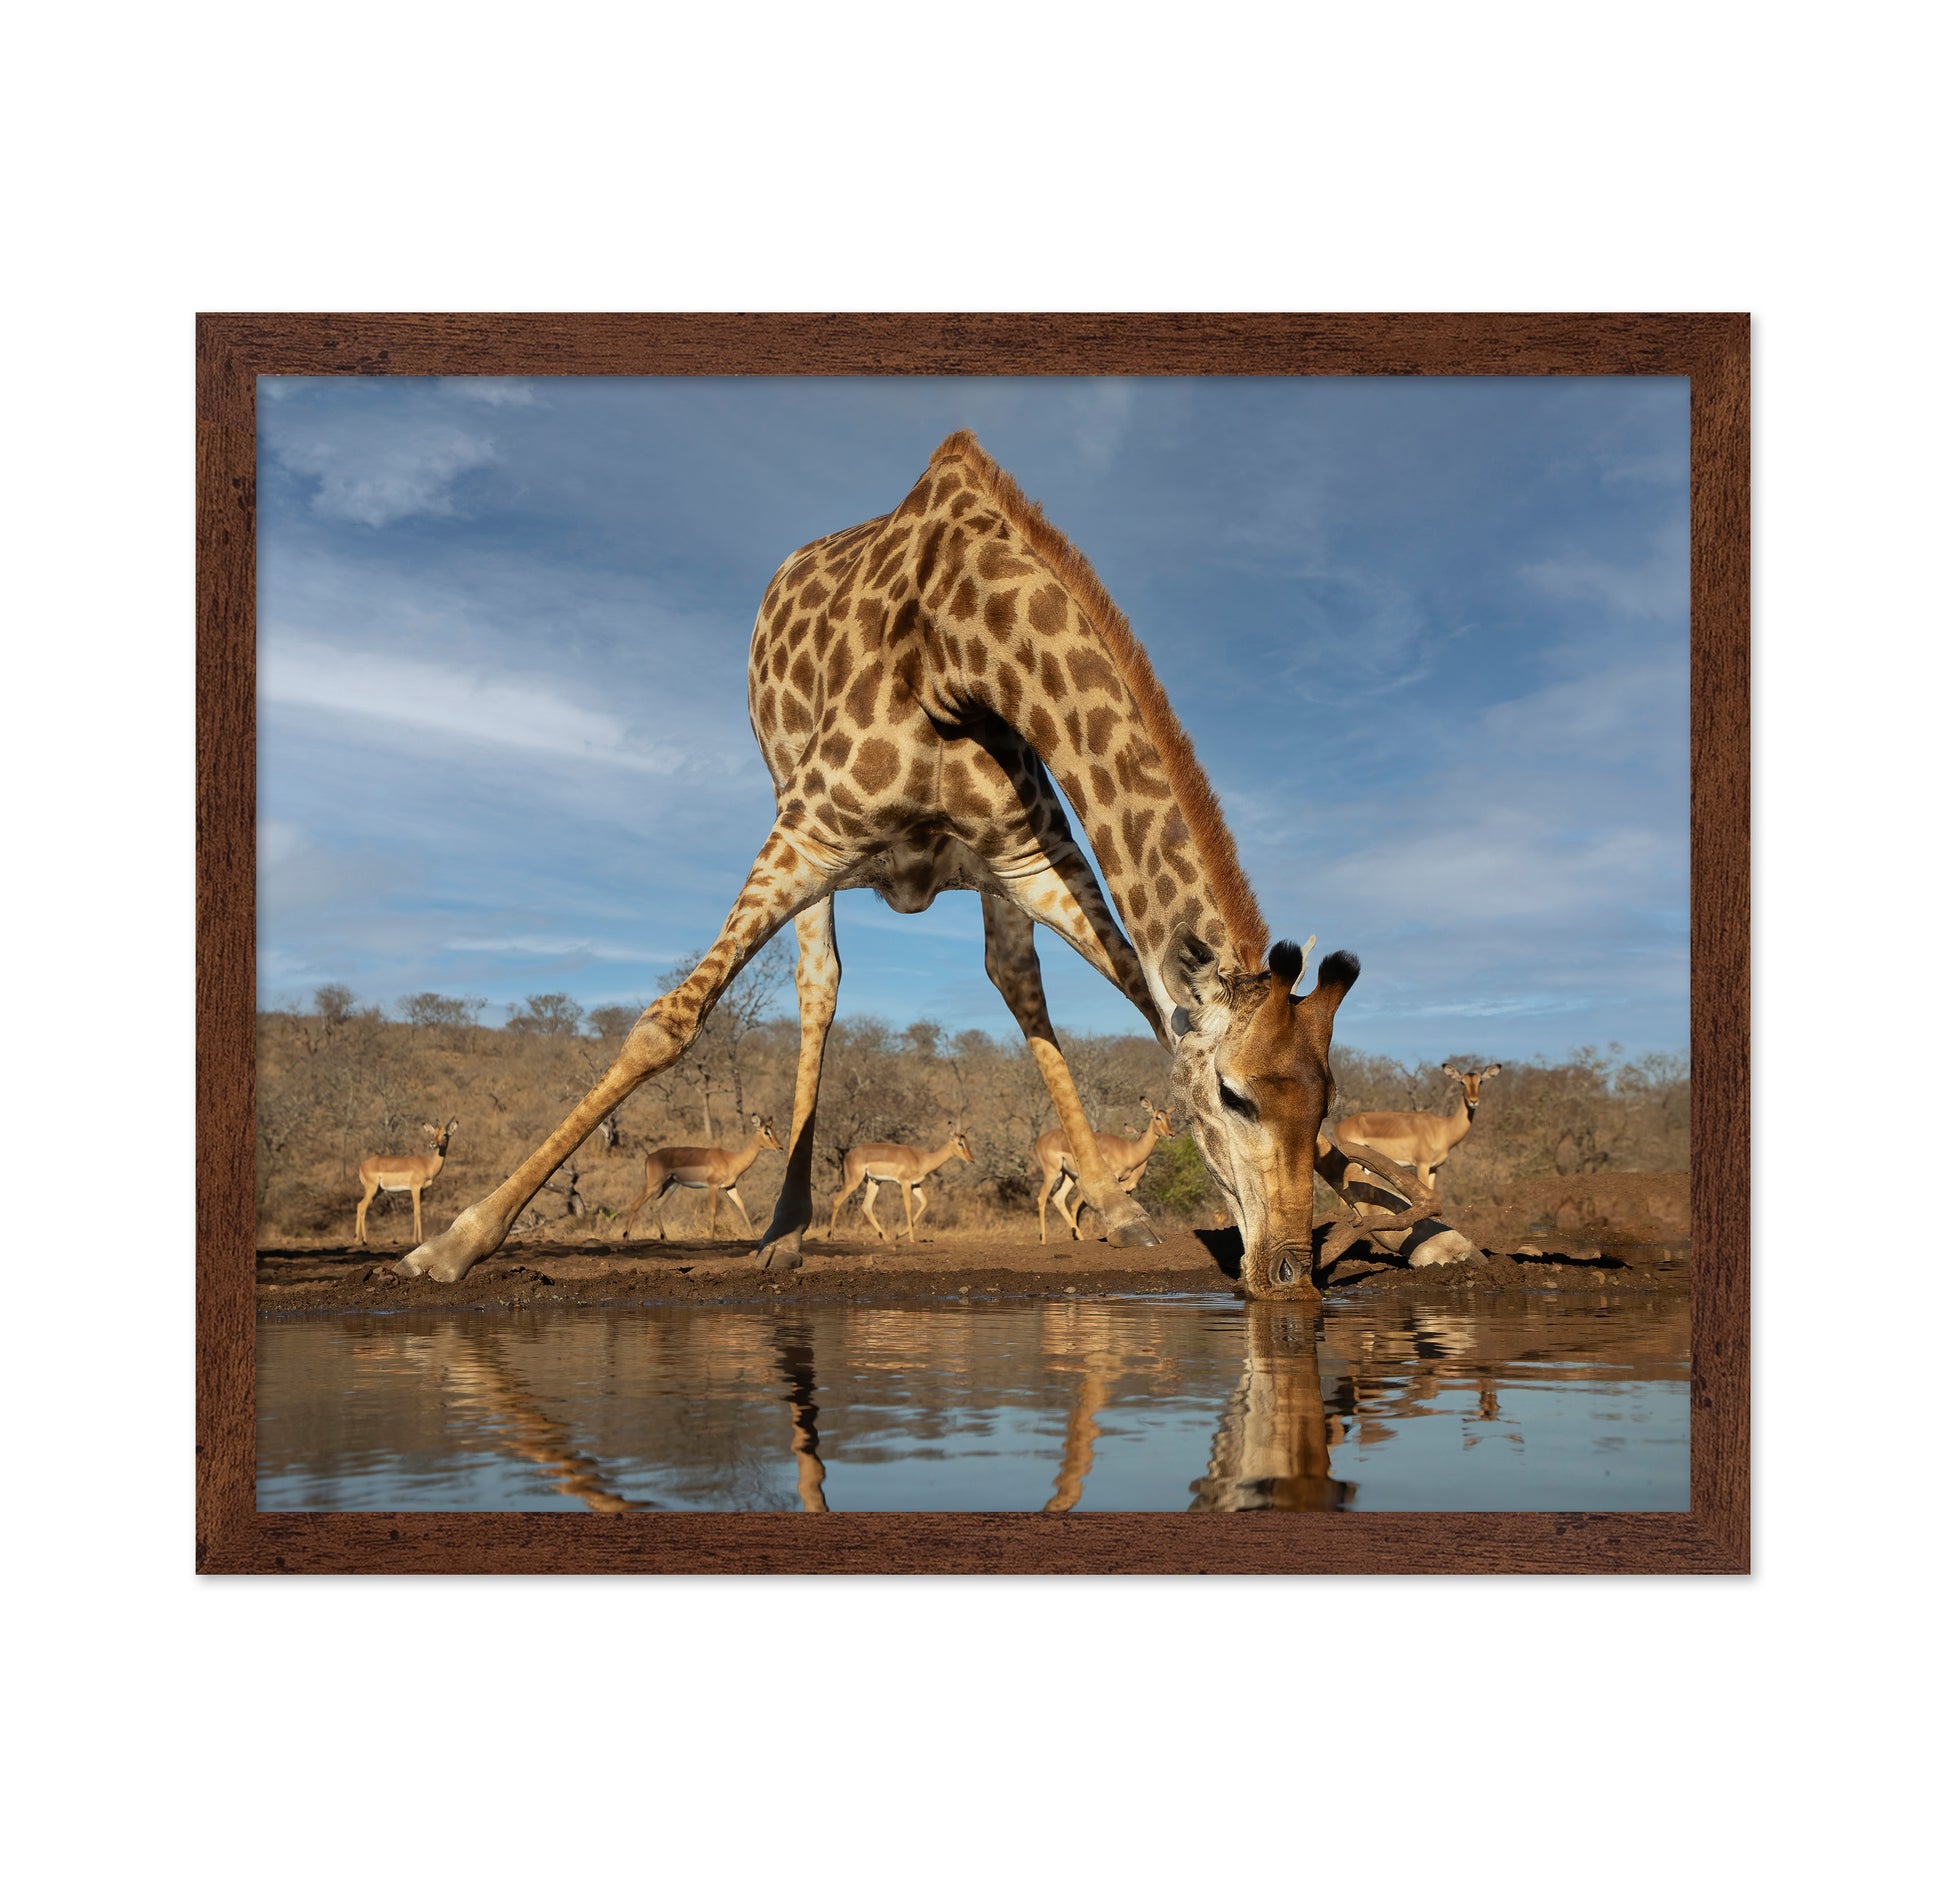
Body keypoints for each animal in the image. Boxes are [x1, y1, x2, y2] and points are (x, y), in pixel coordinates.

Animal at [396, 431, 1358, 1300]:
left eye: (1327, 1101)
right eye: (1234, 1096)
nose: (1287, 1272)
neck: (965, 647)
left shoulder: (1034, 857)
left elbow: (1142, 995)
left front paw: (1380, 1216)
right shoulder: (812, 829)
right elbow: (667, 1023)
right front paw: (454, 1242)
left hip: (989, 879)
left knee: (1014, 979)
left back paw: (1114, 1207)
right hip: (794, 813)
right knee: (819, 986)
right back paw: (783, 1231)